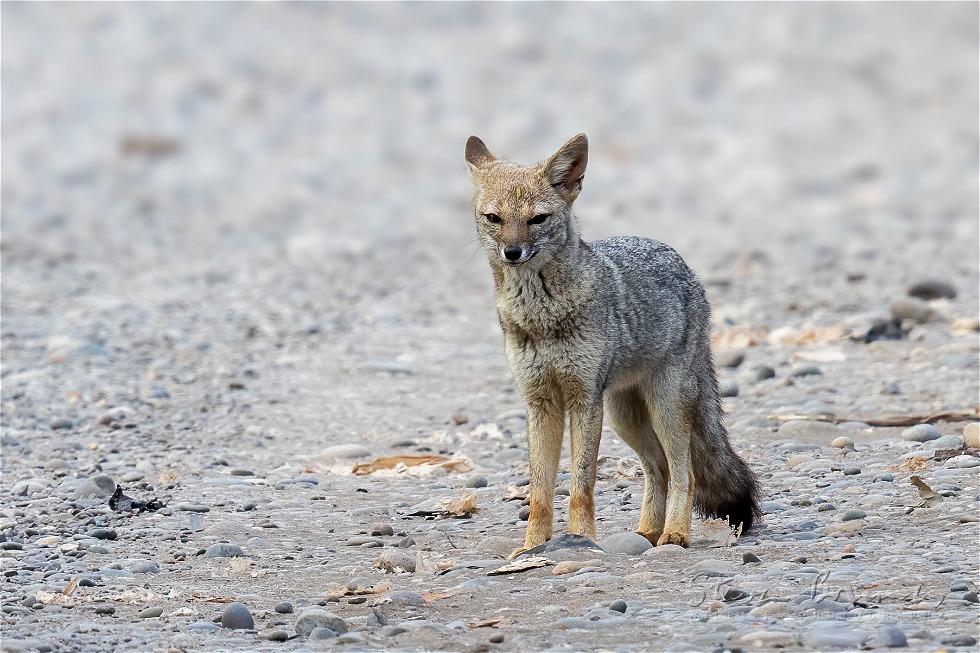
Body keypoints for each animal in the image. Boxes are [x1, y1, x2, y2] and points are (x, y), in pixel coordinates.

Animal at [464, 133, 760, 557]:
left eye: (537, 219)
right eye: (495, 219)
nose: (512, 252)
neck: (541, 316)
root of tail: (680, 261)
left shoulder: (584, 398)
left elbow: (582, 482)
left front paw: (582, 539)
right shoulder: (540, 401)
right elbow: (539, 490)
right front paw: (532, 546)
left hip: (664, 406)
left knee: (684, 471)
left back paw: (675, 534)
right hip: (626, 417)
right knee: (659, 470)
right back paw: (647, 532)